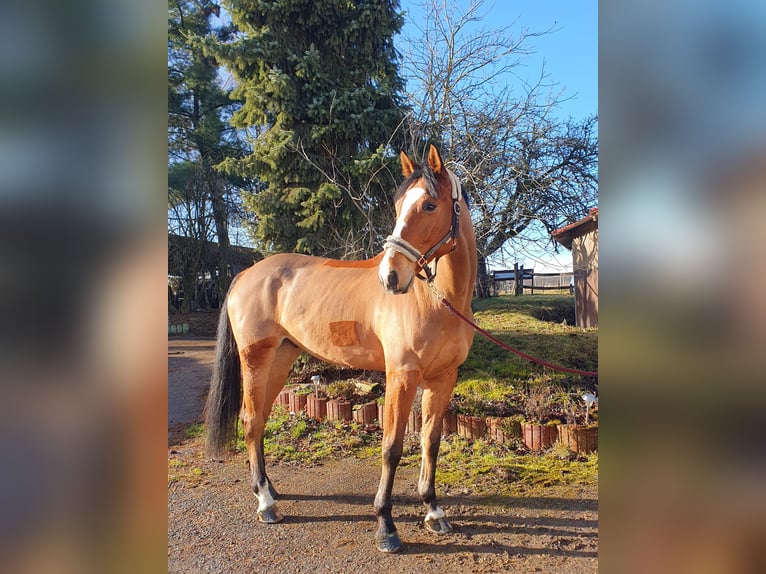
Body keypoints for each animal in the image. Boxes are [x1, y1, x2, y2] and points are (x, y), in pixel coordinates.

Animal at [204, 144, 477, 553]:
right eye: (399, 206)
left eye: (430, 205)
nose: (390, 278)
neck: (437, 300)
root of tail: (245, 274)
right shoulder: (402, 376)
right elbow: (392, 447)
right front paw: (386, 526)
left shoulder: (443, 378)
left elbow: (430, 441)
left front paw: (433, 511)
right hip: (256, 358)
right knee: (251, 420)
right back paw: (266, 504)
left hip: (281, 358)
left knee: (260, 420)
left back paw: (268, 489)